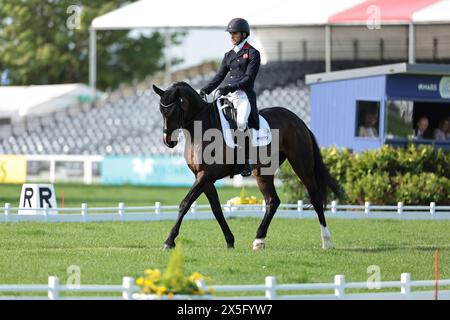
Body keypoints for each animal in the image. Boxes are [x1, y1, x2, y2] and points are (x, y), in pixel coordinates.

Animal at [152, 80, 344, 250]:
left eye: (173, 110)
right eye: (161, 111)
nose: (168, 141)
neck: (201, 129)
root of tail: (298, 120)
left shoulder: (205, 175)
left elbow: (185, 204)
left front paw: (169, 241)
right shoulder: (204, 178)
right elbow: (216, 209)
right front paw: (230, 240)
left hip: (302, 165)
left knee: (315, 198)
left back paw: (327, 242)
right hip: (263, 171)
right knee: (272, 201)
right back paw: (259, 240)